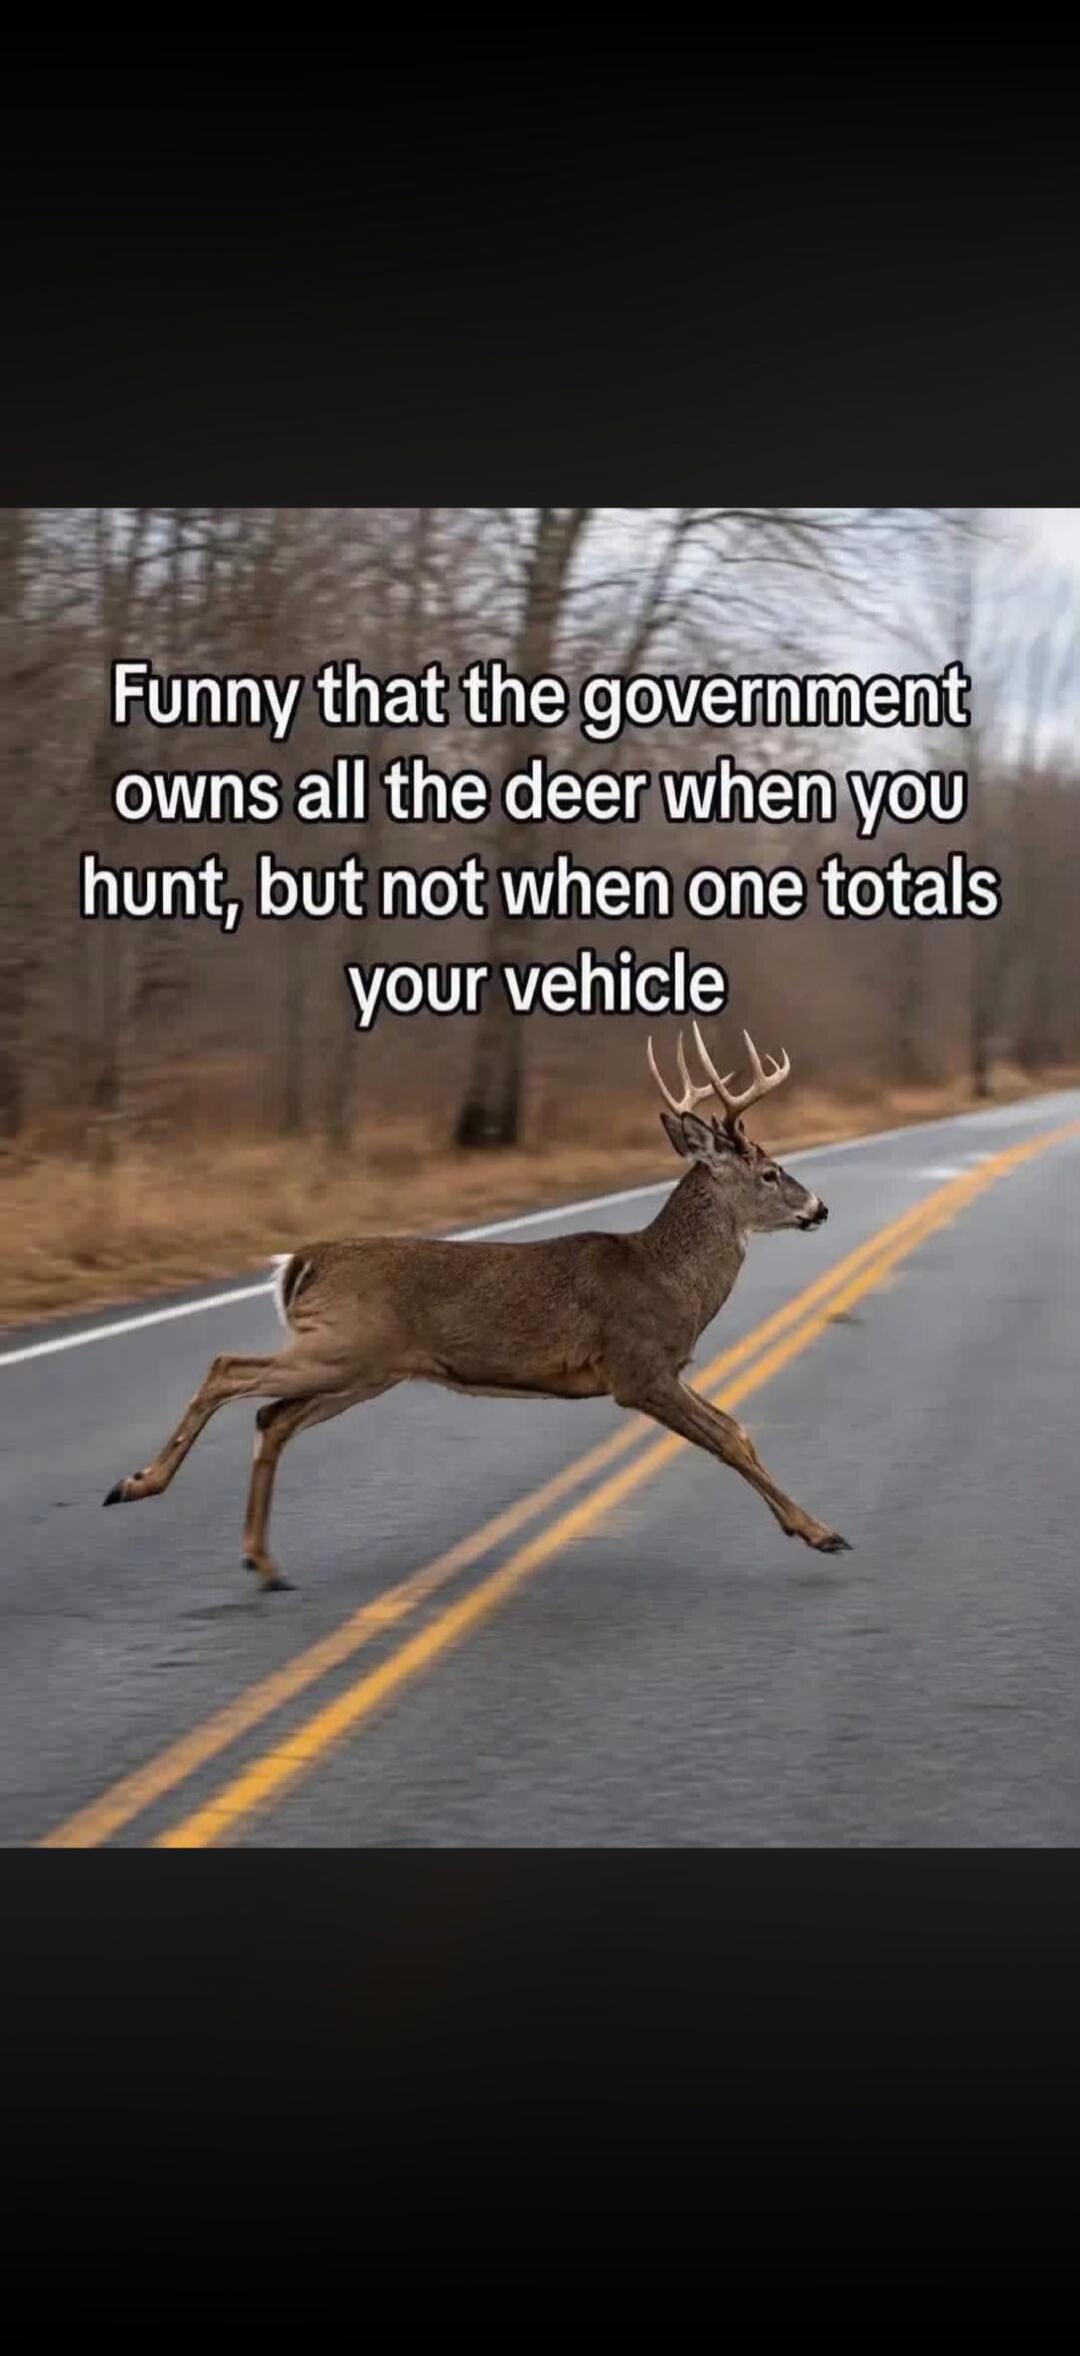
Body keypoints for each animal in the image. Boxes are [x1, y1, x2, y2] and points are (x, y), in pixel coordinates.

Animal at [103, 1025, 851, 1588]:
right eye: (770, 1173)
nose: (819, 1207)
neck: (669, 1279)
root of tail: (299, 1262)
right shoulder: (637, 1368)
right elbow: (728, 1436)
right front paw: (820, 1532)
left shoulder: (657, 1371)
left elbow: (735, 1430)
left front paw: (817, 1528)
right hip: (340, 1347)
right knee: (228, 1368)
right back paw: (136, 1484)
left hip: (364, 1370)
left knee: (272, 1416)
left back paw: (263, 1562)